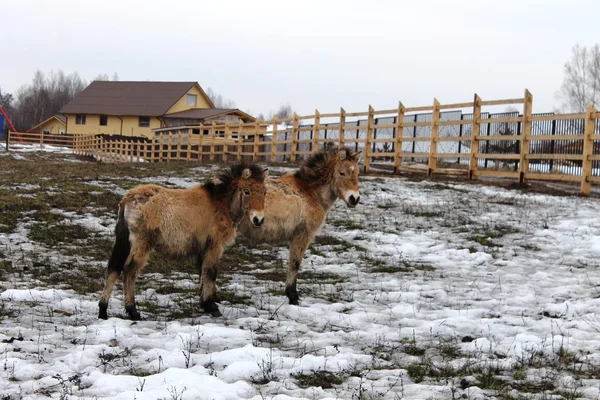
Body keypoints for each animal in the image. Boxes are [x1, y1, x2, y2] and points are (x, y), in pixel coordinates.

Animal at [98, 161, 268, 320]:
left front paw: (205, 304)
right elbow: (210, 272)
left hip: (124, 242)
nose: (258, 220)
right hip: (141, 245)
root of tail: (127, 199)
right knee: (129, 272)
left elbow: (202, 273)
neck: (220, 204)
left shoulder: (203, 249)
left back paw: (103, 311)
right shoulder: (215, 246)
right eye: (247, 191)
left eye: (265, 192)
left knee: (113, 270)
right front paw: (212, 307)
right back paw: (133, 311)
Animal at [236, 145, 358, 304]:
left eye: (357, 173)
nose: (354, 199)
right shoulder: (303, 235)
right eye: (341, 173)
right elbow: (295, 263)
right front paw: (292, 296)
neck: (310, 191)